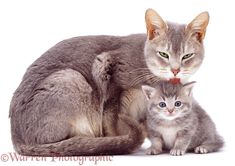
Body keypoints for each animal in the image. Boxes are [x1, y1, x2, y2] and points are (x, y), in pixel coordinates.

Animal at [9, 8, 209, 156]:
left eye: (187, 56)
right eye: (163, 54)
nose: (175, 70)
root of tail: (15, 136)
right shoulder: (108, 71)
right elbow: (111, 122)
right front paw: (122, 142)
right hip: (71, 79)